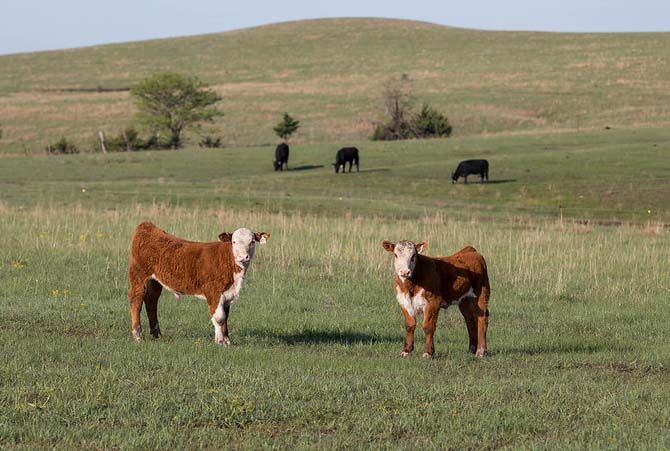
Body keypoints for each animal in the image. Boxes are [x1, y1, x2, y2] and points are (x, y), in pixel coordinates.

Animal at [128, 222, 269, 345]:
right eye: (233, 241)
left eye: (252, 242)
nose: (243, 257)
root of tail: (147, 226)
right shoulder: (213, 292)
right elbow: (219, 317)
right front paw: (220, 341)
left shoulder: (227, 295)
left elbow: (226, 317)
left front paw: (227, 340)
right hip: (138, 276)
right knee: (136, 300)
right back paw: (137, 335)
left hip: (155, 281)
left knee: (151, 301)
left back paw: (156, 333)